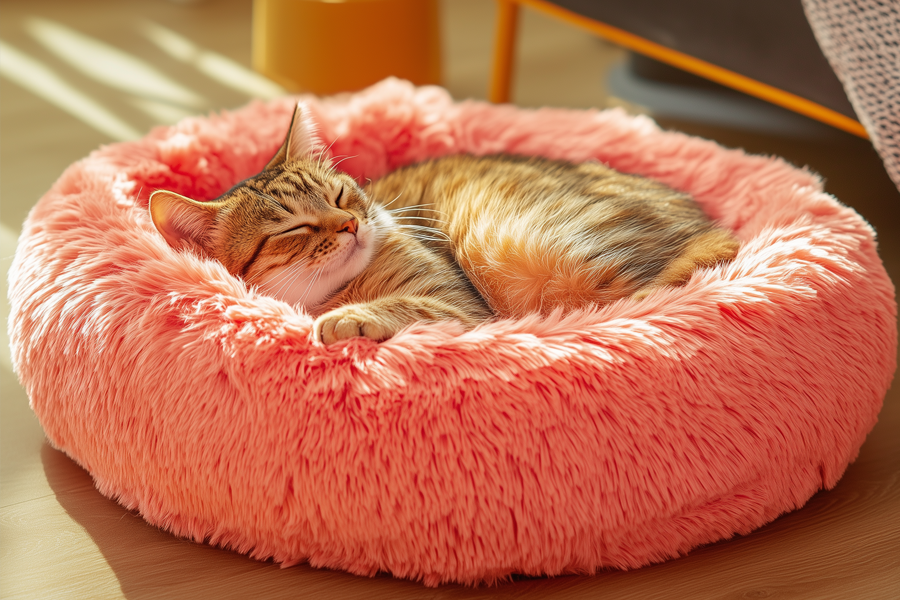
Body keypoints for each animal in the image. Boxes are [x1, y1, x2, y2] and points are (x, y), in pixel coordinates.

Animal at [149, 102, 740, 342]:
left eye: (340, 194)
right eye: (292, 230)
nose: (350, 225)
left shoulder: (457, 303)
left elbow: (403, 305)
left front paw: (347, 319)